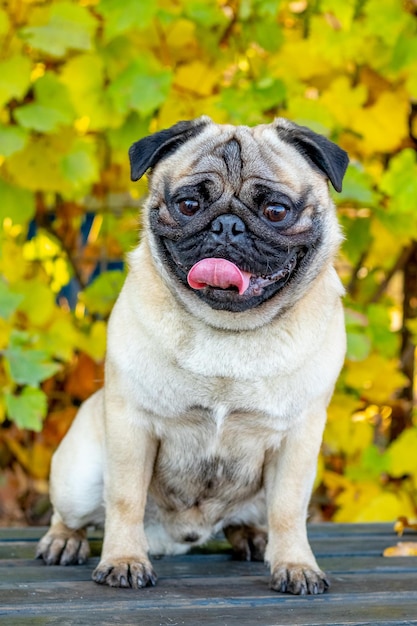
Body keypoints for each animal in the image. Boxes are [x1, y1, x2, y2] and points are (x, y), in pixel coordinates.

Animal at [36, 114, 348, 592]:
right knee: (74, 513)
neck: (229, 329)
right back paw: (63, 541)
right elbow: (124, 498)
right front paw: (124, 560)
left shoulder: (298, 440)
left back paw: (253, 537)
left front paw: (295, 565)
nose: (227, 226)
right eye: (188, 205)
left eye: (275, 211)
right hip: (79, 477)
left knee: (254, 517)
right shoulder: (131, 426)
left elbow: (288, 509)